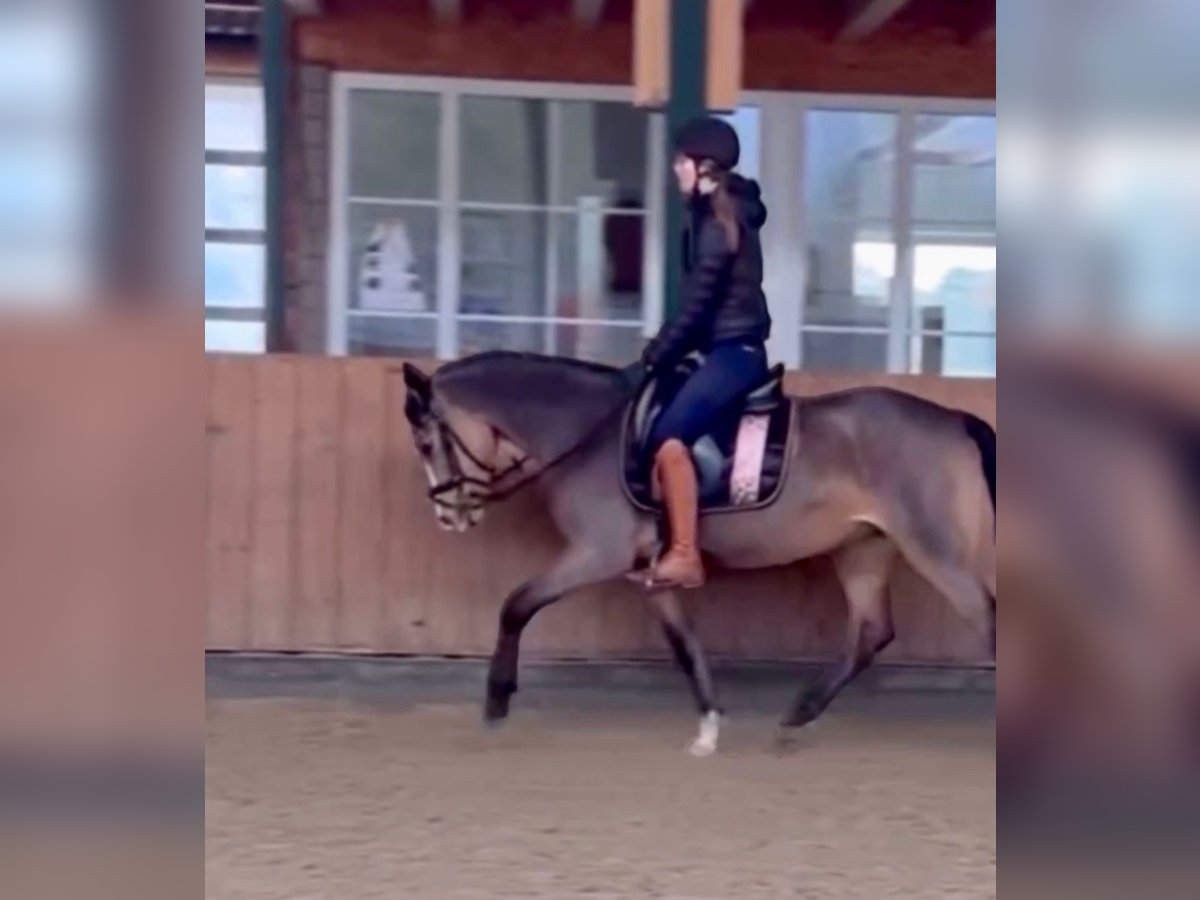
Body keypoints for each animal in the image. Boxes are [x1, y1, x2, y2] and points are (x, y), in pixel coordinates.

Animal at [403, 350, 993, 753]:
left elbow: (517, 604)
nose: (449, 514)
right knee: (870, 632)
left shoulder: (597, 552)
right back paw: (796, 716)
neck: (590, 432)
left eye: (429, 443)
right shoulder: (650, 571)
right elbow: (684, 644)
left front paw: (497, 701)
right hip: (863, 549)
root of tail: (952, 419)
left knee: (983, 619)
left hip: (936, 551)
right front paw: (709, 727)